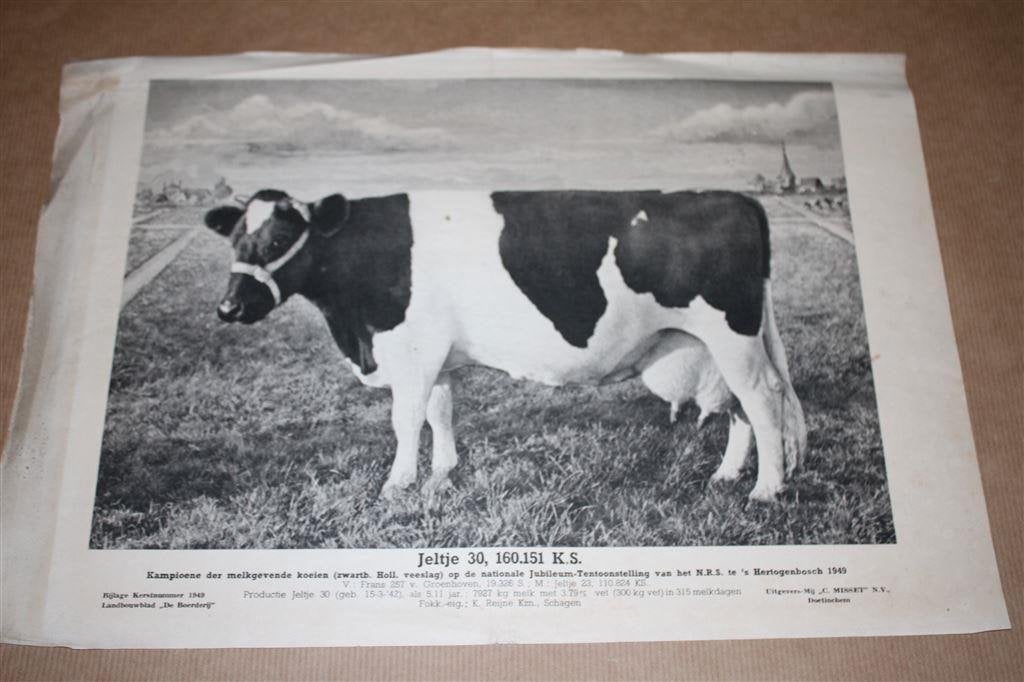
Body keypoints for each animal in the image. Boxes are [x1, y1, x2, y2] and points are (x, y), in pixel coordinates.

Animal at [204, 189, 807, 502]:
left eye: (279, 240)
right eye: (234, 239)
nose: (228, 308)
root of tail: (737, 197)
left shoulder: (413, 352)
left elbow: (406, 420)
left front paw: (398, 485)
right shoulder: (439, 357)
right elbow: (440, 413)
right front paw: (443, 473)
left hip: (733, 332)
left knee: (762, 399)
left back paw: (766, 489)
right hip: (716, 343)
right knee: (739, 406)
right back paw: (728, 475)